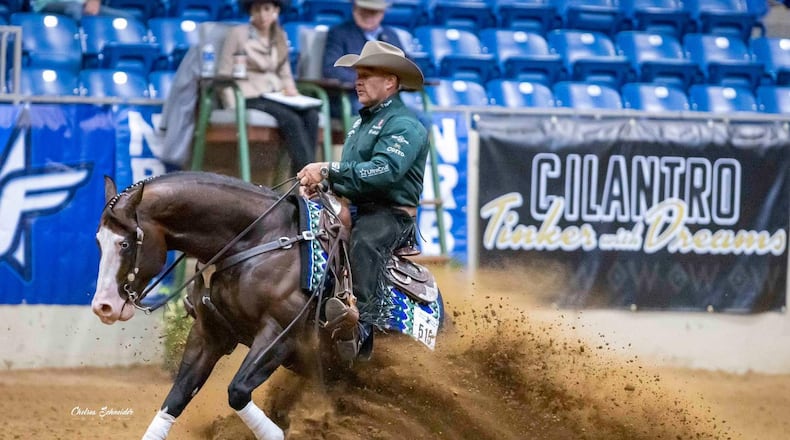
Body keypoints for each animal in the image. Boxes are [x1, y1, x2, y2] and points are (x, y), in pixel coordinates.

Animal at [90, 171, 443, 440]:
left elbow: (237, 391)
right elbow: (175, 398)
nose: (103, 306)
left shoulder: (279, 336)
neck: (258, 239)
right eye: (98, 241)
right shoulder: (209, 335)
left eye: (125, 243)